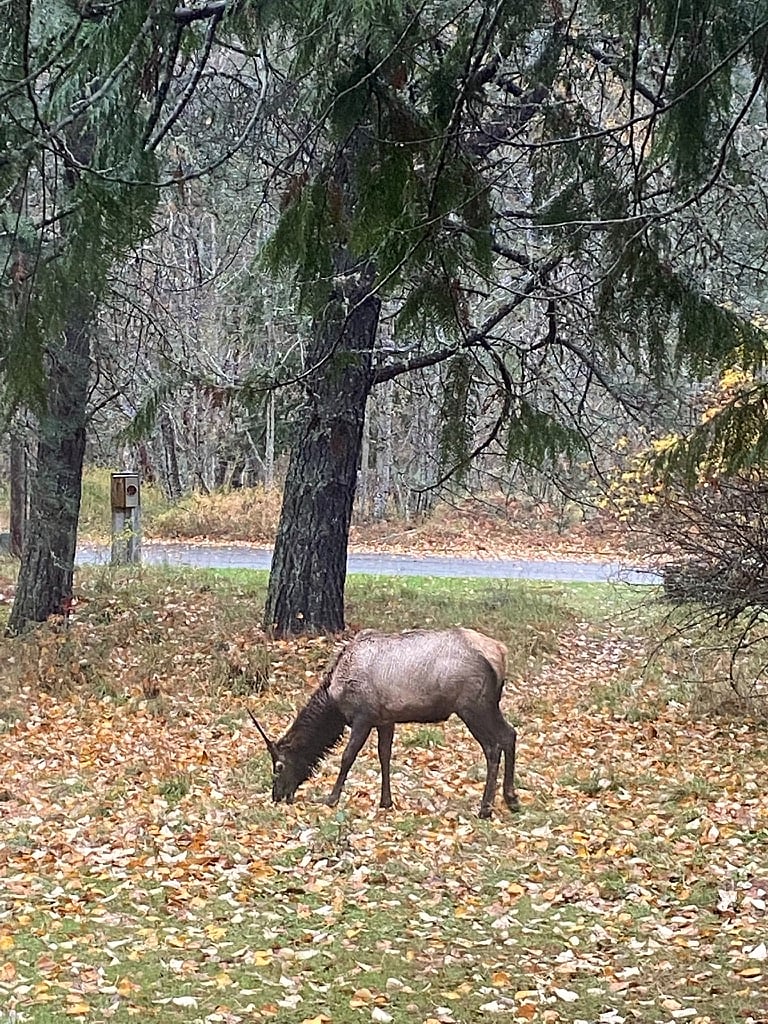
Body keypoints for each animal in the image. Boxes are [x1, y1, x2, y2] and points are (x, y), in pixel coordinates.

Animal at [249, 627, 519, 818]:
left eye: (279, 765)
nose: (277, 795)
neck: (335, 698)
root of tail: (501, 653)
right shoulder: (385, 720)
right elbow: (385, 756)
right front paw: (385, 801)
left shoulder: (363, 717)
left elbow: (347, 756)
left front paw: (332, 798)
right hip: (489, 705)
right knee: (510, 734)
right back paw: (511, 798)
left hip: (473, 706)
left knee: (493, 746)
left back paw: (485, 808)